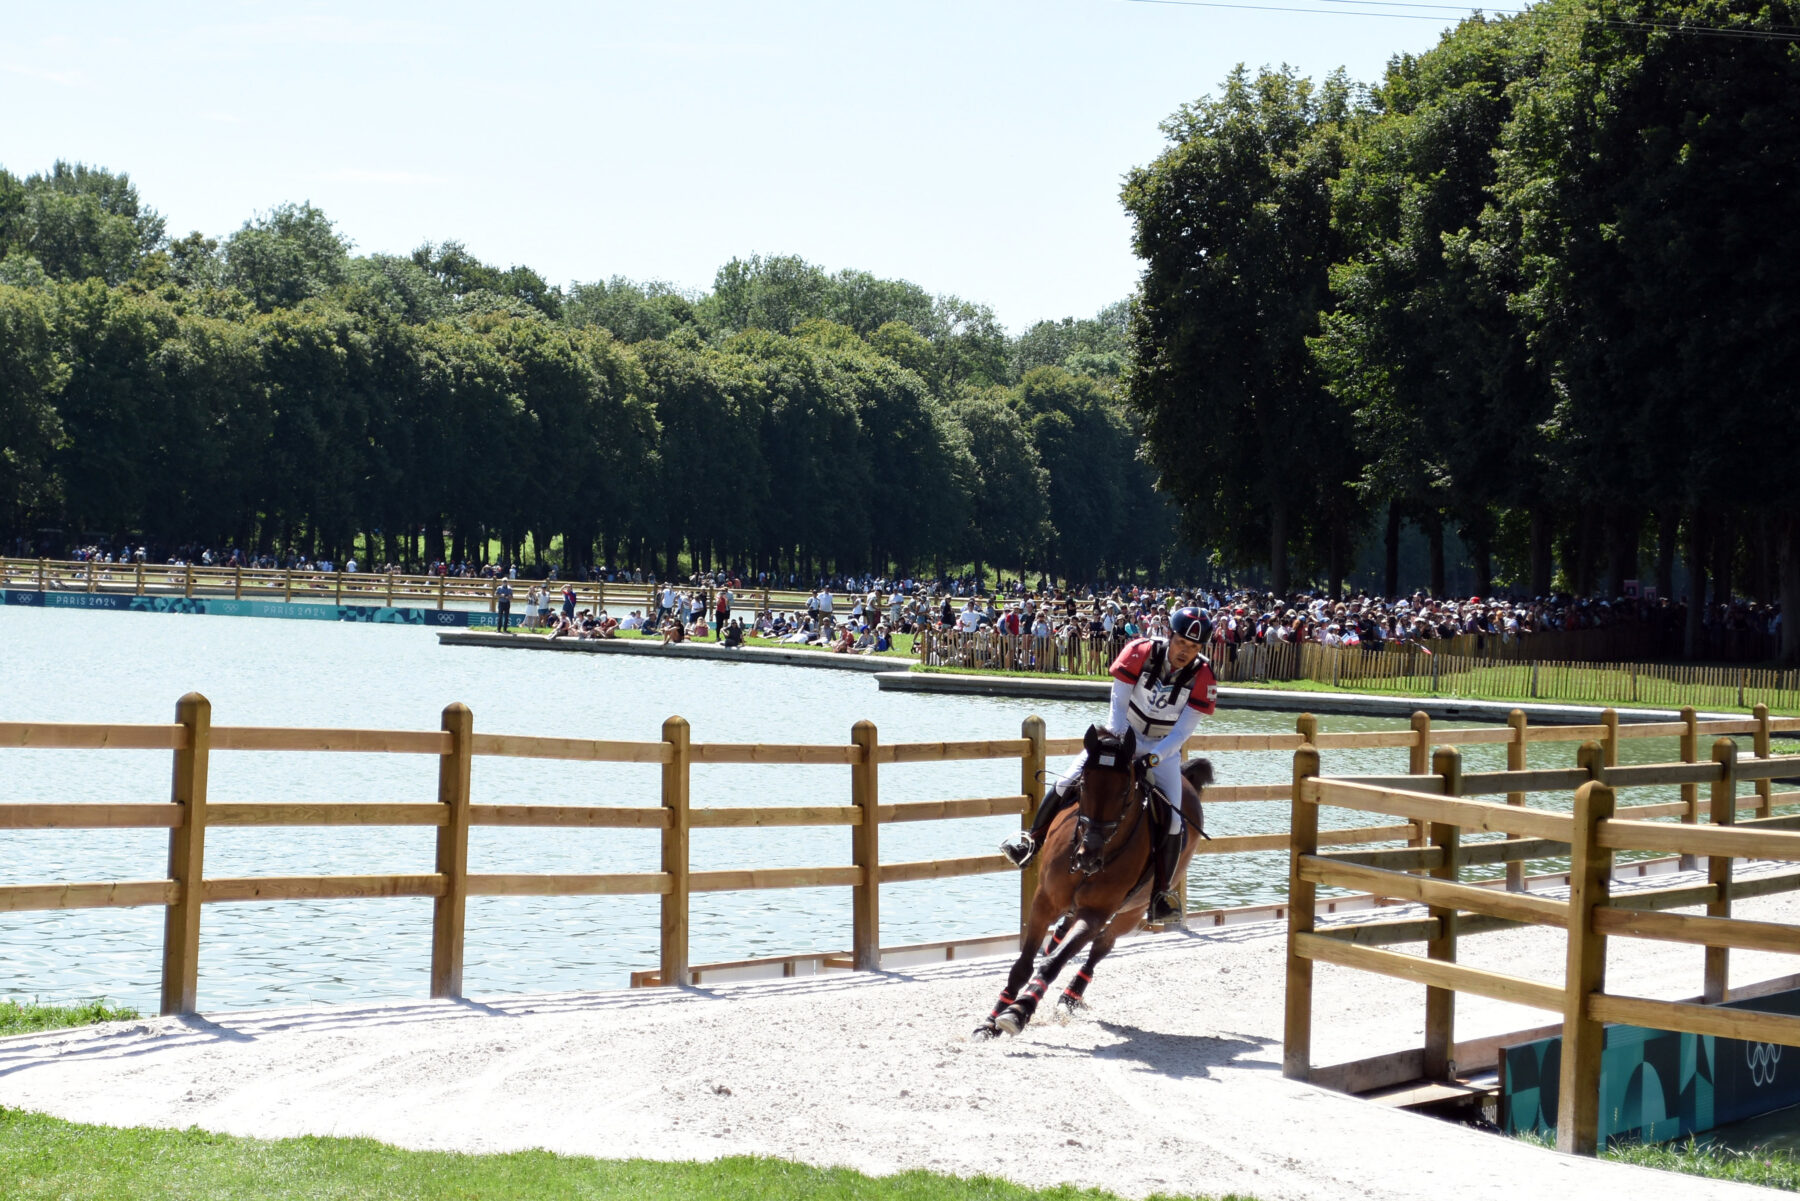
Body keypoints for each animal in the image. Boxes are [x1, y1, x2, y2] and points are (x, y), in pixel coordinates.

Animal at [972, 723, 1209, 1044]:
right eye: (1083, 785)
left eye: (1125, 792)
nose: (1089, 855)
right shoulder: (1044, 901)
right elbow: (1023, 966)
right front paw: (990, 1021)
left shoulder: (1096, 914)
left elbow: (1053, 964)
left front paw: (1020, 1011)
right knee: (1070, 932)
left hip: (1131, 912)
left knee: (1101, 947)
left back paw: (1071, 996)